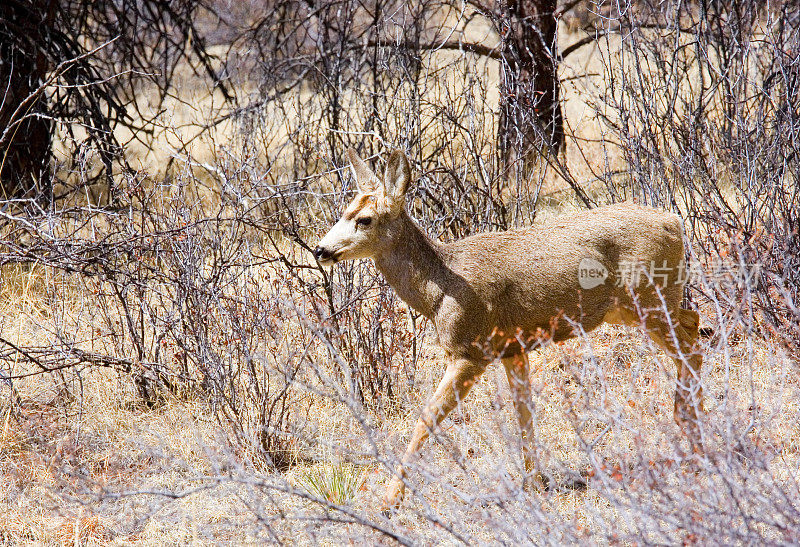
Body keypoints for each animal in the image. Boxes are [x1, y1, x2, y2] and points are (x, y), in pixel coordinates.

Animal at [312, 147, 700, 512]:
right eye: (344, 210)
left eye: (365, 219)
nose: (320, 249)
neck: (438, 290)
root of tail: (675, 222)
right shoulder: (514, 349)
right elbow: (524, 415)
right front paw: (534, 484)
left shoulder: (469, 351)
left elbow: (425, 420)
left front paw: (389, 500)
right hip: (636, 308)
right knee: (695, 324)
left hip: (647, 300)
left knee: (690, 346)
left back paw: (687, 428)